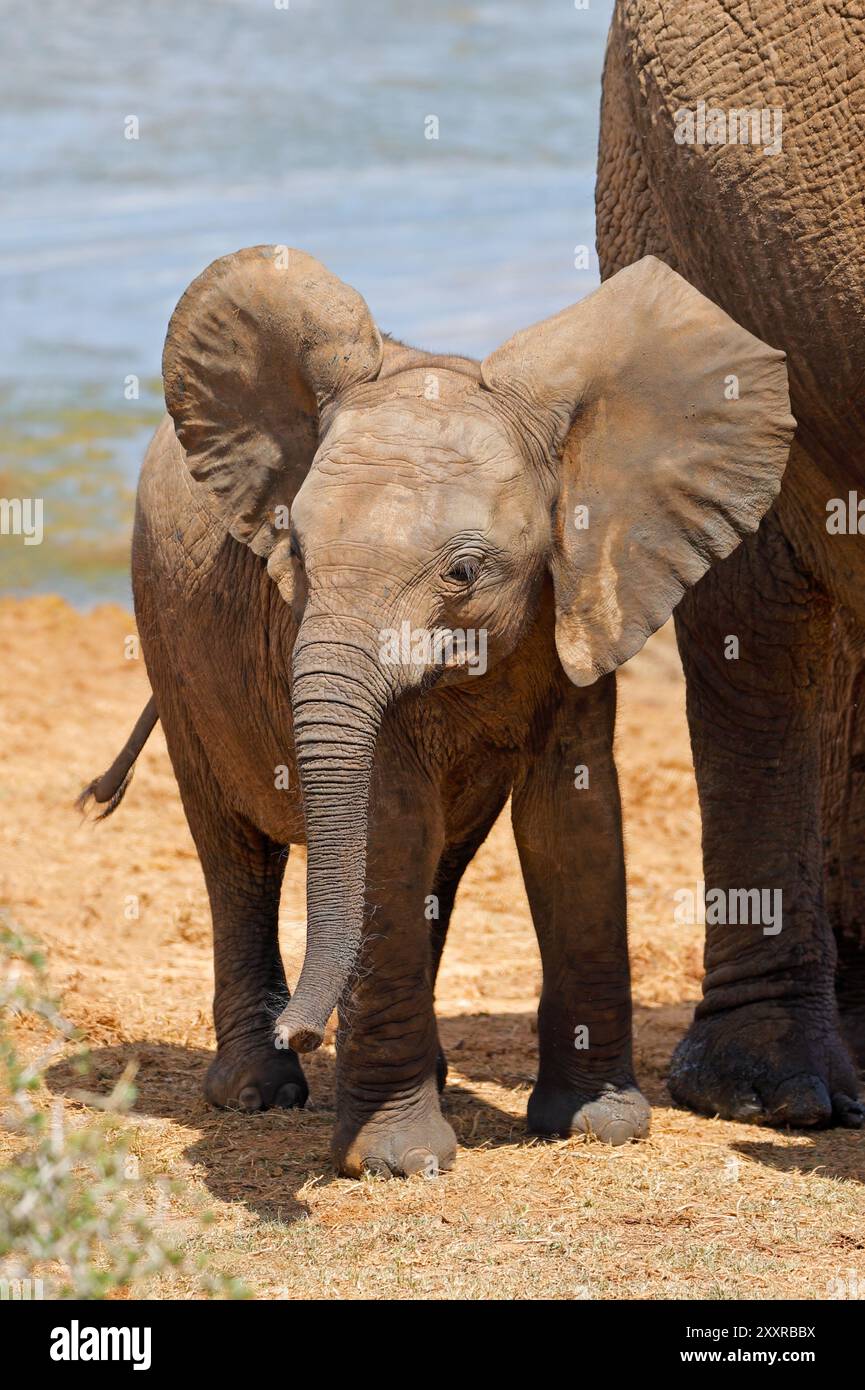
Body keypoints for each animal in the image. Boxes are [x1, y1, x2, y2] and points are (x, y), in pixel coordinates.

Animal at [81, 247, 795, 1173]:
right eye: (293, 550)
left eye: (462, 572)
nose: (303, 1033)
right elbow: (387, 826)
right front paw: (396, 1161)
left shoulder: (572, 608)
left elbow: (573, 822)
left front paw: (599, 1126)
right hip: (170, 639)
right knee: (234, 850)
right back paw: (257, 1091)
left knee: (438, 868)